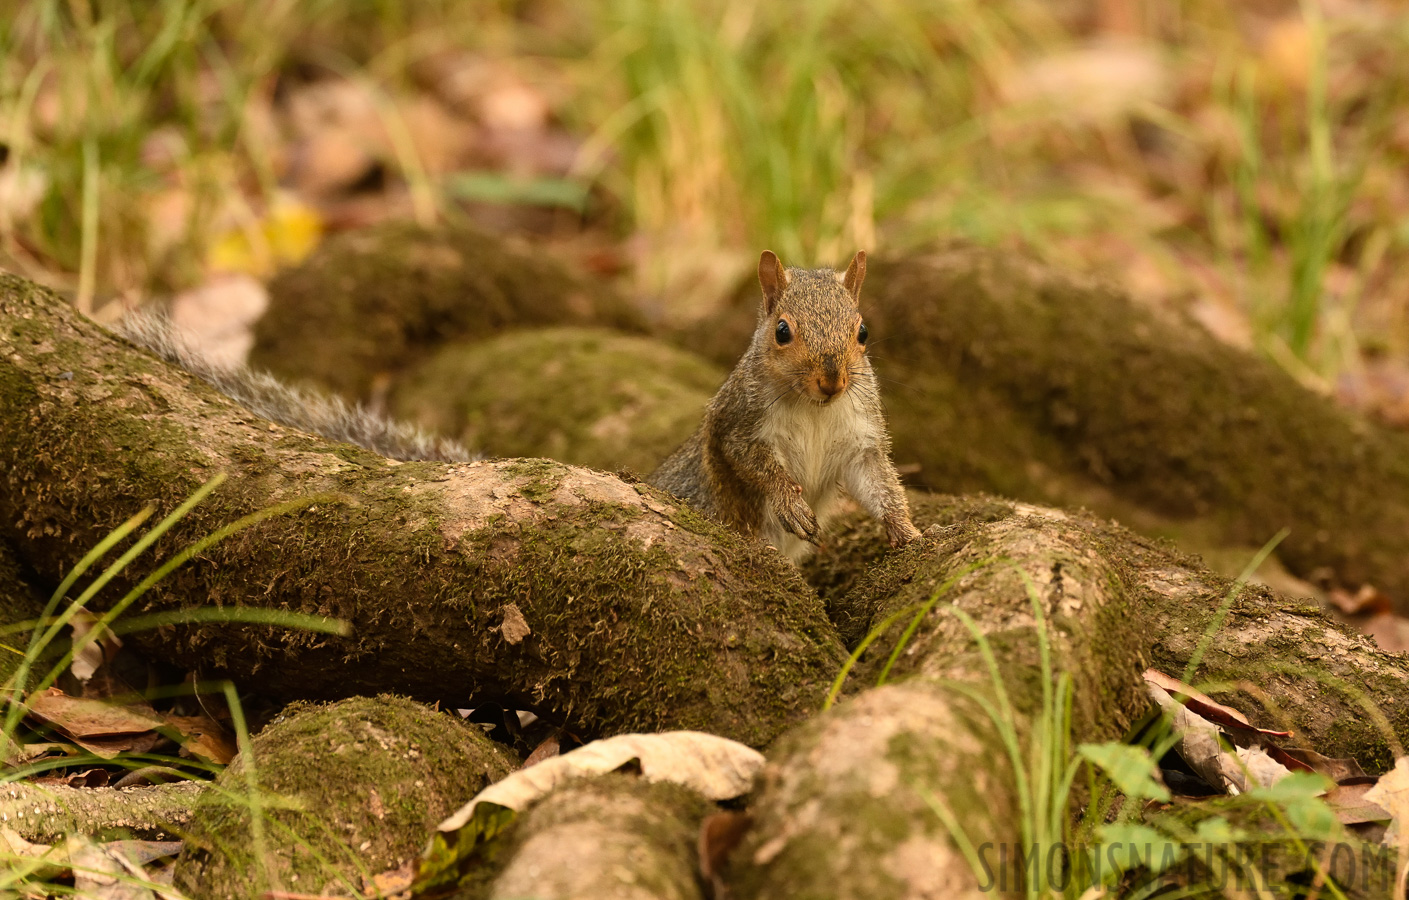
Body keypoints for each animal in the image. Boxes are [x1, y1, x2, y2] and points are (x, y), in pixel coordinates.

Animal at [650, 250, 924, 563]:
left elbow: (879, 486)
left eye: (863, 332)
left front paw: (908, 532)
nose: (832, 382)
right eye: (782, 331)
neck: (814, 408)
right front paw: (790, 503)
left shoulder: (860, 440)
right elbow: (756, 466)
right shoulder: (737, 425)